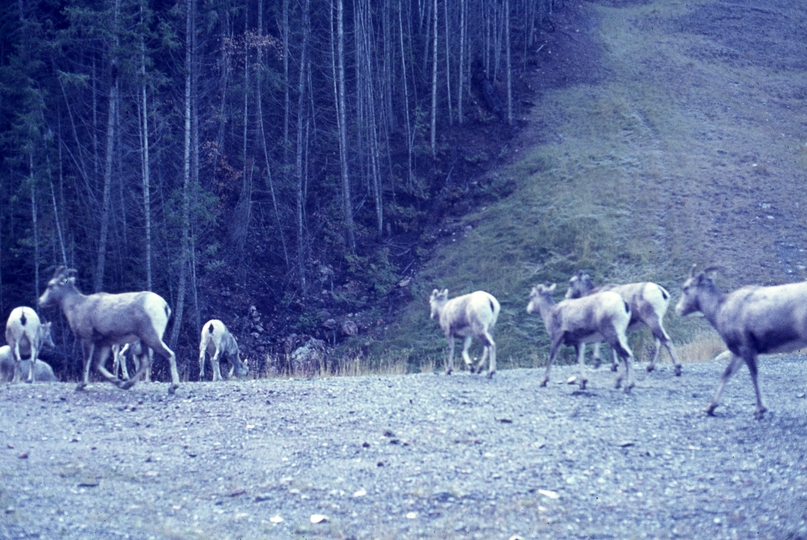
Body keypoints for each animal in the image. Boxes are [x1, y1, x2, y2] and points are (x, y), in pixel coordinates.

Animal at [38, 266, 180, 392]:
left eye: (50, 285)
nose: (40, 301)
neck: (77, 306)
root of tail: (164, 306)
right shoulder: (104, 343)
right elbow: (99, 364)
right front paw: (117, 382)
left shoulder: (87, 339)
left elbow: (87, 362)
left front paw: (81, 385)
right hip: (144, 341)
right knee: (145, 361)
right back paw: (127, 384)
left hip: (150, 337)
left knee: (169, 354)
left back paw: (172, 387)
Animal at [676, 264, 807, 420]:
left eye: (686, 288)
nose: (678, 309)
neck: (720, 309)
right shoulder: (738, 353)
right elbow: (727, 374)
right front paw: (709, 408)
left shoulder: (746, 348)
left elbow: (754, 374)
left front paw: (760, 410)